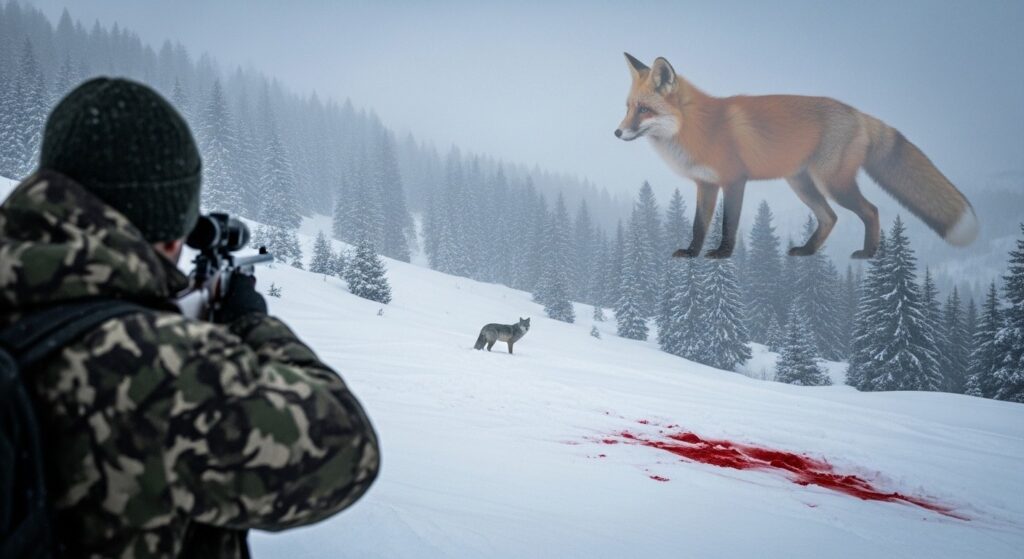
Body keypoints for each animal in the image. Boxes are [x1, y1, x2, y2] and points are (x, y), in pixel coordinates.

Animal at [615, 52, 978, 260]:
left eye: (644, 110)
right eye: (628, 107)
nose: (617, 134)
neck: (696, 127)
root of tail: (858, 113)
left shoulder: (734, 181)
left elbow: (729, 223)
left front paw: (722, 254)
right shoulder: (705, 185)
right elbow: (699, 225)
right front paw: (691, 253)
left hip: (833, 184)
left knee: (871, 211)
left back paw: (868, 254)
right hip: (802, 184)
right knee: (830, 218)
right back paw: (807, 251)